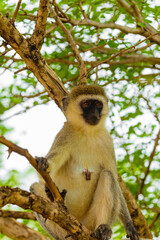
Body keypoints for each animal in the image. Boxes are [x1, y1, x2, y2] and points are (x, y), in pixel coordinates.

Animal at [30, 85, 139, 240]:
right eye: (87, 104)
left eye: (98, 104)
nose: (94, 113)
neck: (87, 132)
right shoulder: (65, 134)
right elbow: (45, 171)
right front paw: (44, 163)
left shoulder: (107, 141)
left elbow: (113, 177)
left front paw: (129, 224)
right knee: (34, 187)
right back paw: (54, 200)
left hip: (90, 220)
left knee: (107, 175)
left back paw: (103, 228)